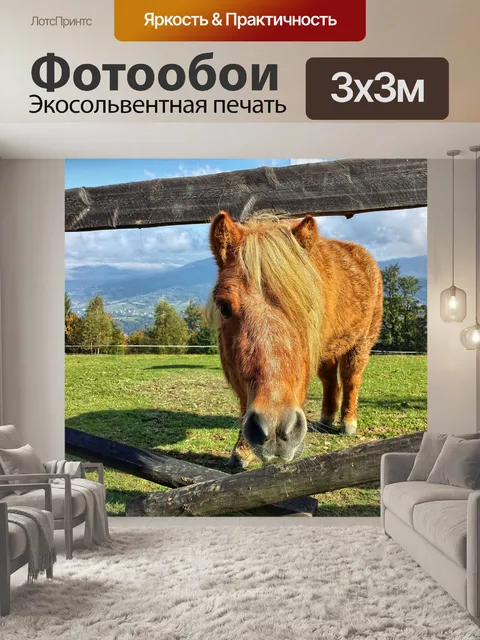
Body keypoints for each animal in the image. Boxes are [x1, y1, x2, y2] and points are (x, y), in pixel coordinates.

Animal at [206, 211, 383, 469]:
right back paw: (327, 418)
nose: (274, 428)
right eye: (224, 308)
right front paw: (241, 451)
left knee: (351, 378)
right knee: (330, 378)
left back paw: (348, 423)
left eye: (308, 305)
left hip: (361, 343)